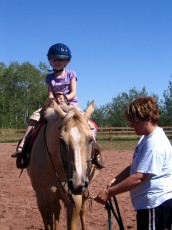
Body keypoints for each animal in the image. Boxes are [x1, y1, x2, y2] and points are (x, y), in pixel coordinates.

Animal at [26, 100, 97, 230]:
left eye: (90, 139)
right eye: (62, 140)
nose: (77, 184)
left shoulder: (74, 200)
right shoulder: (43, 197)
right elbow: (49, 222)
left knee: (83, 211)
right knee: (56, 211)